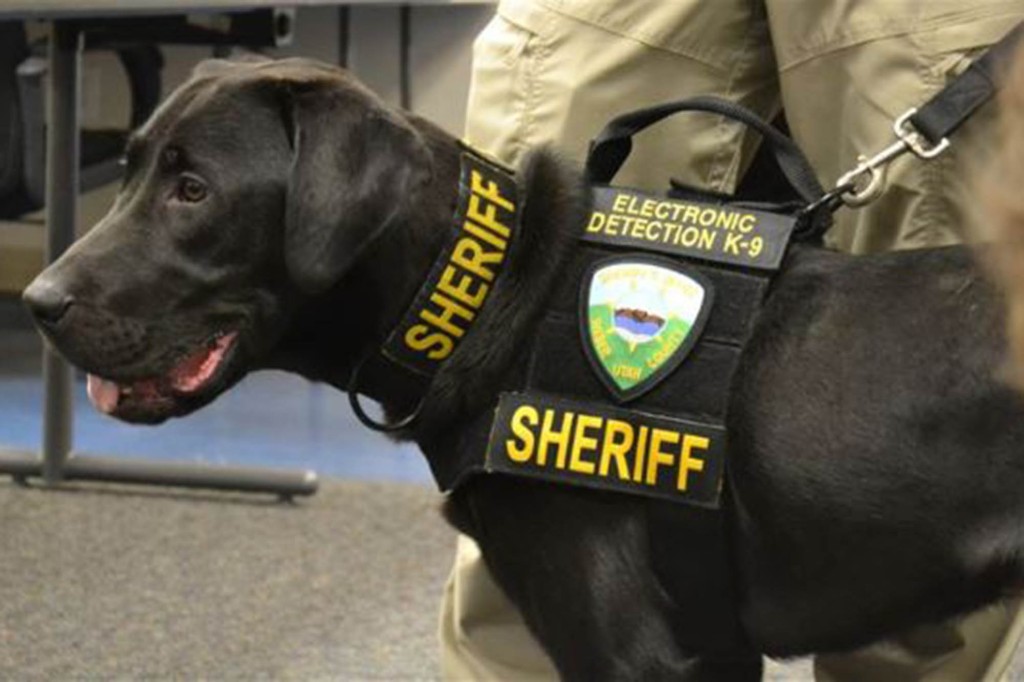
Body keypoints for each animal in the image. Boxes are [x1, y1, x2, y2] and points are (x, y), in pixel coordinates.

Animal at [19, 57, 1024, 675]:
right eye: (133, 169)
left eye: (194, 191)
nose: (37, 302)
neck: (493, 296)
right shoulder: (713, 648)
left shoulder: (634, 651)